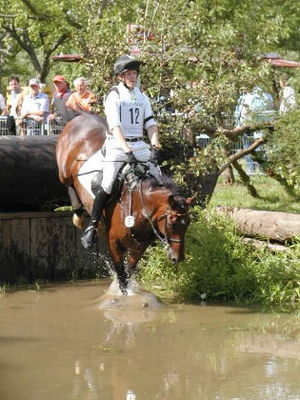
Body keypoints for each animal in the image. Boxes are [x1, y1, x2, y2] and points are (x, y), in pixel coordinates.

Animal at [55, 113, 192, 294]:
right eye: (171, 222)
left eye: (187, 223)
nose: (178, 258)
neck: (139, 207)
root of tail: (80, 117)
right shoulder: (114, 244)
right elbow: (121, 277)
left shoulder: (139, 247)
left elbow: (129, 273)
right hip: (64, 171)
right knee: (69, 183)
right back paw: (79, 215)